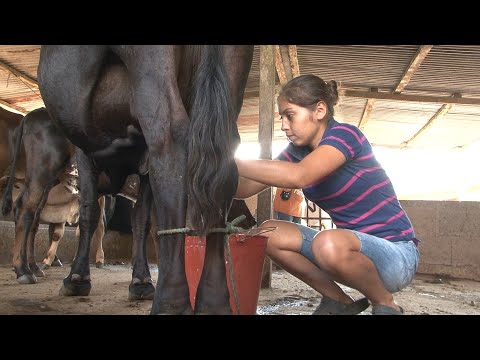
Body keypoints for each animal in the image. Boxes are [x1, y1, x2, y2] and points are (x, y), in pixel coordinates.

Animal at [37, 45, 255, 316]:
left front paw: (77, 278)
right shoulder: (143, 165)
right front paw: (140, 281)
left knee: (170, 142)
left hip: (149, 64)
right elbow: (140, 218)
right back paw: (214, 303)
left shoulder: (85, 152)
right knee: (223, 160)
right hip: (232, 67)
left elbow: (88, 214)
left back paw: (170, 303)